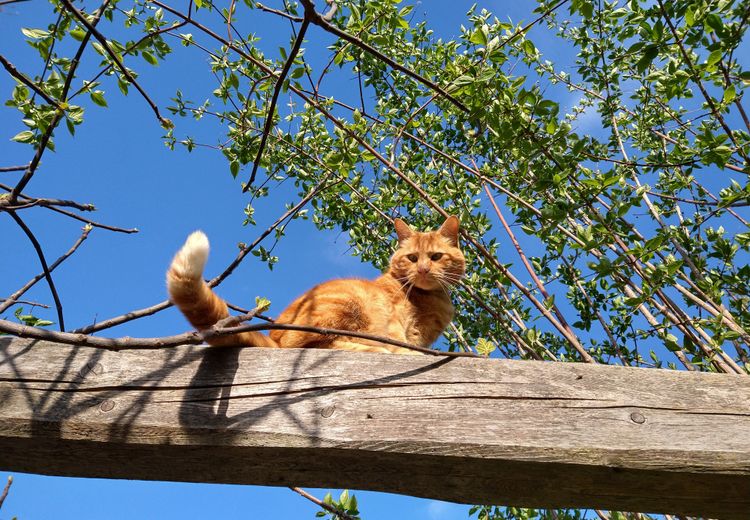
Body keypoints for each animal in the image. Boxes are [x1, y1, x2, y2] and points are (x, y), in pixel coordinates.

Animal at [167, 214, 468, 354]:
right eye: (412, 258)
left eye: (435, 257)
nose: (423, 269)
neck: (430, 297)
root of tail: (274, 334)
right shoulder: (395, 322)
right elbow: (403, 345)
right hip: (346, 305)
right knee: (314, 344)